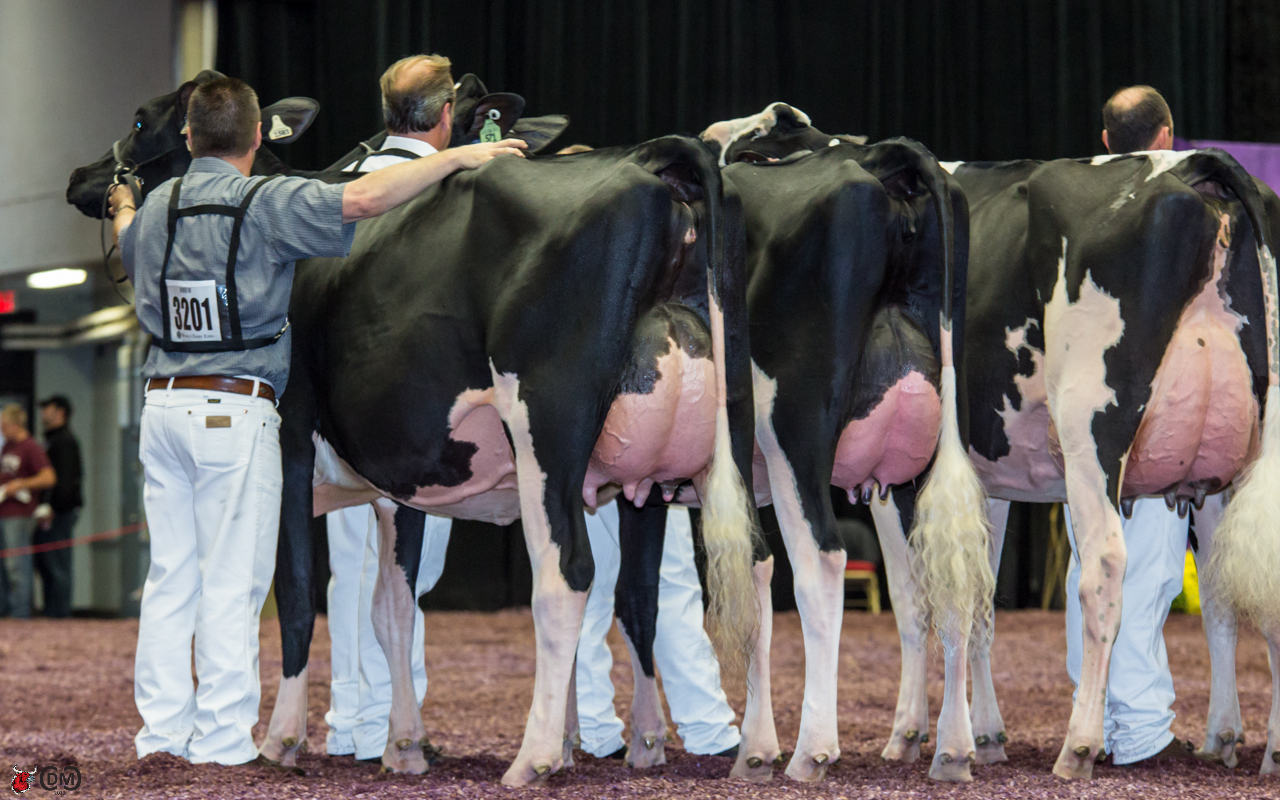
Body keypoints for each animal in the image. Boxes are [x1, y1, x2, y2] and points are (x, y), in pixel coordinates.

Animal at [719, 105, 1280, 780]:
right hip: (1232, 456)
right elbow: (978, 593)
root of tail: (1199, 163)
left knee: (1104, 570)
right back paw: (1235, 739)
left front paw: (911, 734)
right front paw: (981, 737)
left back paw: (1078, 744)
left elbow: (912, 597)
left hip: (1088, 422)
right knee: (1232, 582)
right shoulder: (985, 481)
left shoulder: (894, 481)